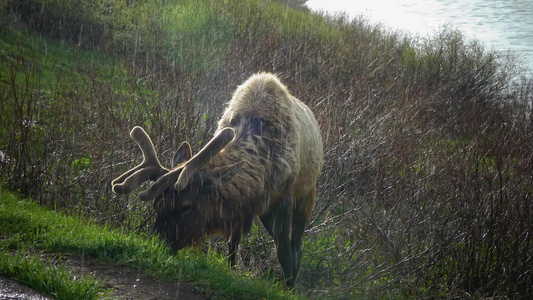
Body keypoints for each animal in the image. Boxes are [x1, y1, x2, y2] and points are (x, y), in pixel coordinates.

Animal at [110, 72, 322, 286]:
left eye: (186, 206)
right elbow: (232, 247)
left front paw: (288, 286)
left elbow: (285, 251)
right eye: (156, 204)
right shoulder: (242, 209)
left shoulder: (285, 196)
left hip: (307, 194)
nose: (157, 244)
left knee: (296, 244)